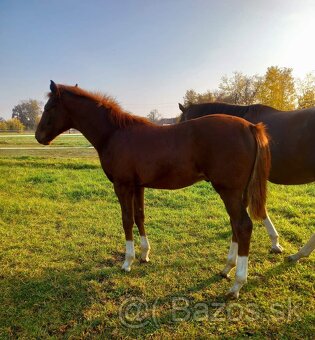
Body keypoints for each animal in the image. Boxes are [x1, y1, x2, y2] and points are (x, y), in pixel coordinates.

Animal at [35, 82, 272, 298]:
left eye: (49, 107)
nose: (38, 136)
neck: (115, 134)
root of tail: (250, 127)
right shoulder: (138, 186)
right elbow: (139, 216)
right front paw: (144, 255)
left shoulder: (122, 186)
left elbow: (126, 220)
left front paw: (127, 262)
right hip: (238, 193)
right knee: (235, 225)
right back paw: (226, 269)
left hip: (229, 191)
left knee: (243, 226)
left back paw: (237, 285)